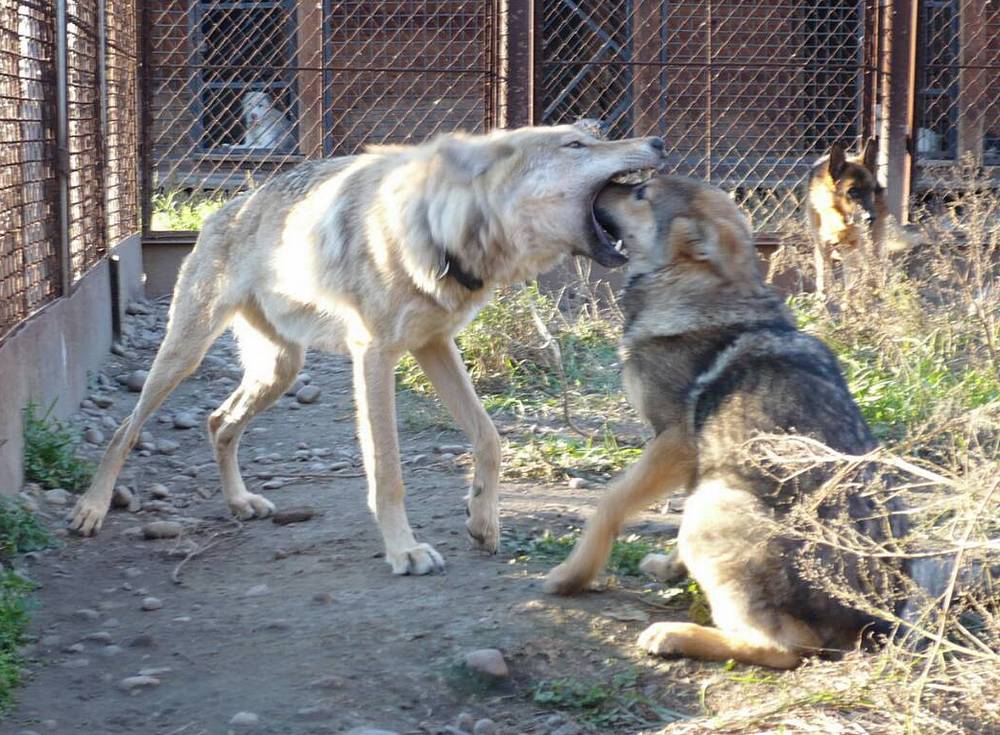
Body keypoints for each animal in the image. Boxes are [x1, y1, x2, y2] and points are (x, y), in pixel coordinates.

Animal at [68, 123, 664, 576]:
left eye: (597, 134)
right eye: (576, 145)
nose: (657, 142)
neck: (445, 233)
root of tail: (223, 208)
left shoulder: (434, 345)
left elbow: (490, 438)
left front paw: (483, 521)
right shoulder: (374, 355)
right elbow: (387, 470)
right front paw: (404, 551)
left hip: (281, 370)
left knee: (218, 422)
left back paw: (239, 502)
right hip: (186, 353)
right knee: (127, 429)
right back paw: (91, 509)